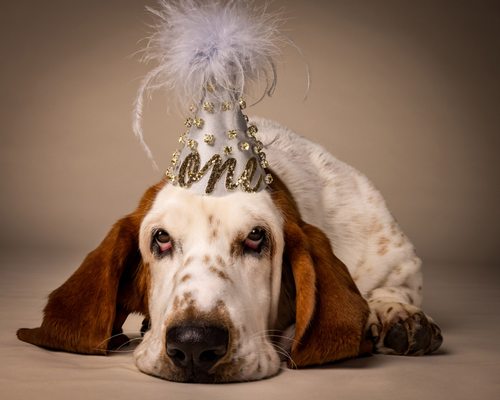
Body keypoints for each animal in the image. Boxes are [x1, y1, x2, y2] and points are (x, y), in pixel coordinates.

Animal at [17, 117, 444, 382]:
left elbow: (393, 290)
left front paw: (396, 315)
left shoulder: (396, 260)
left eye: (257, 237)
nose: (194, 344)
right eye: (161, 238)